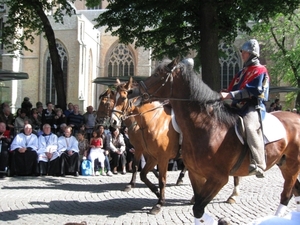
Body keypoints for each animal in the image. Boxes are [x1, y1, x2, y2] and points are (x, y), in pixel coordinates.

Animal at [131, 57, 300, 223]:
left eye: (158, 75)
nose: (134, 92)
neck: (208, 127)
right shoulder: (195, 174)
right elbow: (197, 209)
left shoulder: (218, 178)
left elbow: (197, 208)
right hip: (284, 164)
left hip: (292, 166)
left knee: (286, 195)